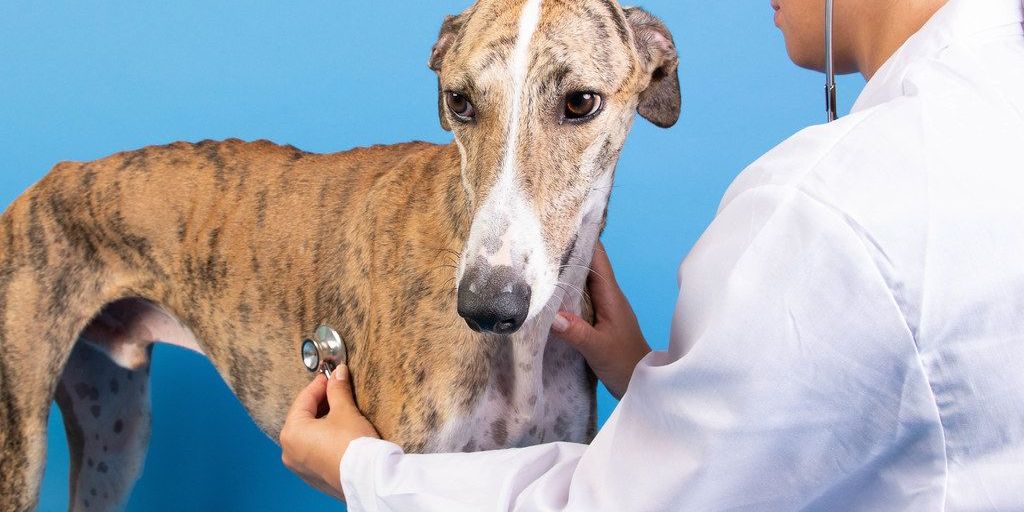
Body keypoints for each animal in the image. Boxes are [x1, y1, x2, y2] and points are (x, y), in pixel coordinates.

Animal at [0, 0, 679, 507]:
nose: (488, 306)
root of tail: (48, 181)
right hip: (23, 445)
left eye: (581, 102)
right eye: (458, 100)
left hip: (115, 434)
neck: (522, 350)